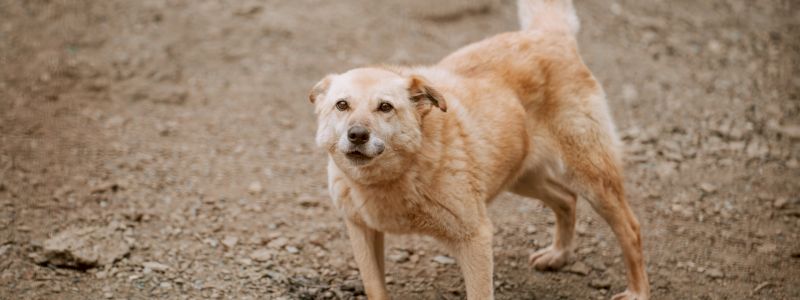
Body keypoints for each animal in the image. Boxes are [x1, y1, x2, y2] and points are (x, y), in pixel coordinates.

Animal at [308, 1, 648, 298]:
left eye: (385, 107)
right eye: (342, 105)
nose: (357, 135)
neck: (391, 177)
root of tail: (549, 35)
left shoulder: (475, 238)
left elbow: (480, 292)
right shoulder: (361, 230)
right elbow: (375, 288)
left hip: (591, 175)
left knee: (630, 229)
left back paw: (637, 292)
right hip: (521, 175)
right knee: (566, 199)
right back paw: (558, 255)